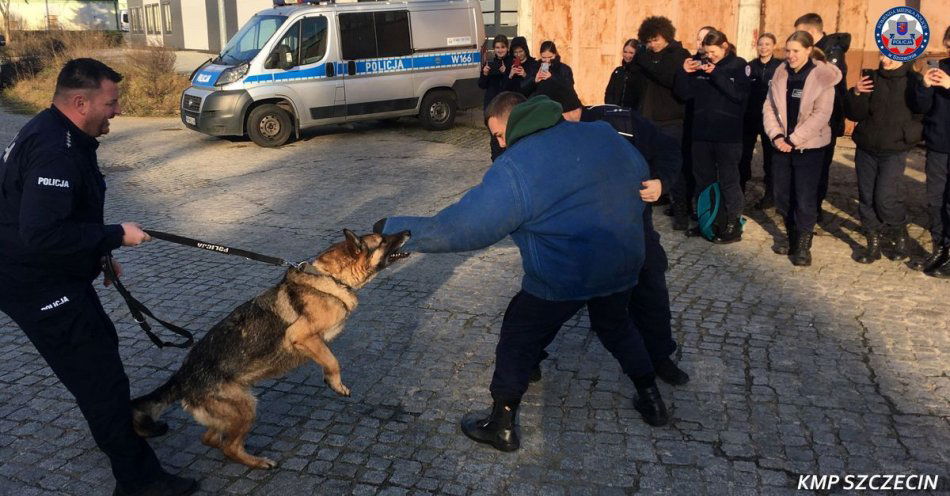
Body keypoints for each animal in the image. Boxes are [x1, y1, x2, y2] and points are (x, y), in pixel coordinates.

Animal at [129, 229, 410, 468]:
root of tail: (182, 377)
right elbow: (332, 360)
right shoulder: (300, 336)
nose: (408, 231)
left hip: (232, 412)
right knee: (229, 446)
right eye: (383, 240)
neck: (331, 279)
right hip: (246, 409)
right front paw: (336, 384)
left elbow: (327, 358)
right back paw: (257, 462)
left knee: (211, 438)